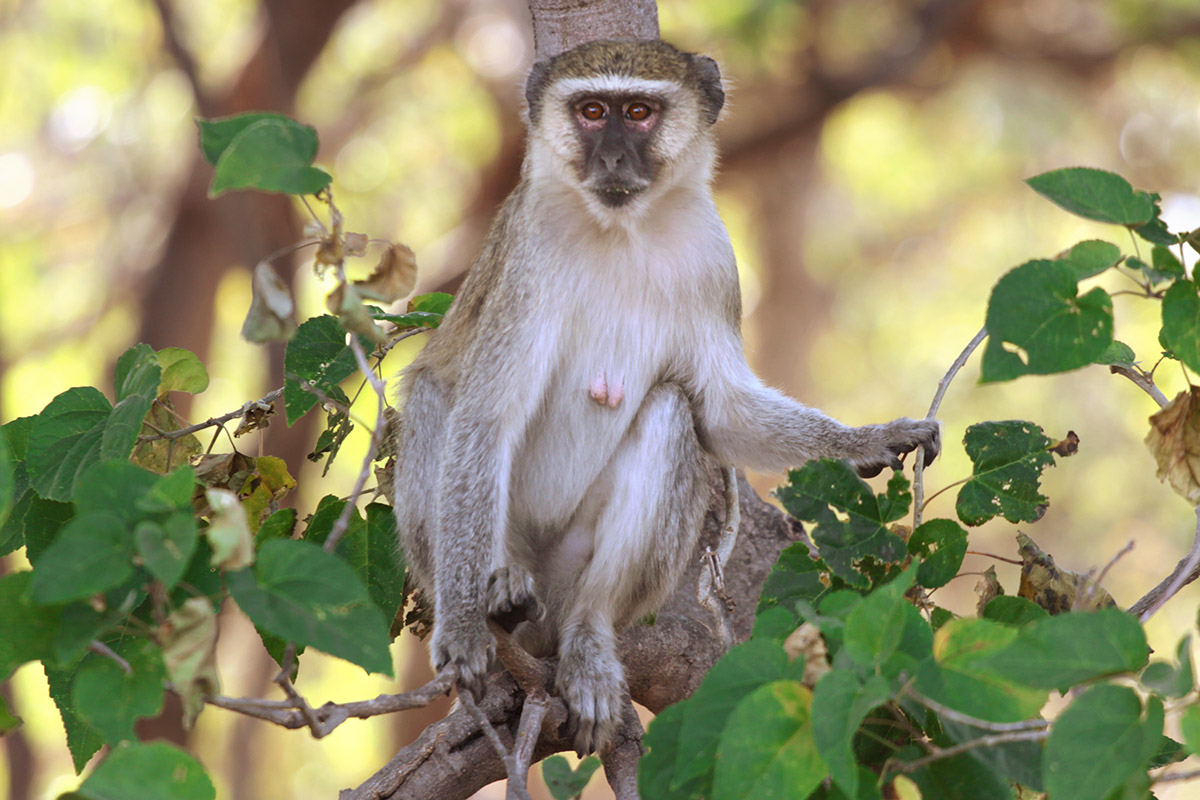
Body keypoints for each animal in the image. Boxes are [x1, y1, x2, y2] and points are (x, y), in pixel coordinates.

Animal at [393, 40, 936, 753]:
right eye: (592, 112)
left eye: (640, 113)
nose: (612, 159)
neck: (624, 228)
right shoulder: (528, 256)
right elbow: (485, 417)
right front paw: (460, 627)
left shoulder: (713, 255)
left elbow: (722, 410)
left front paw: (868, 440)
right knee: (436, 397)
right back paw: (502, 592)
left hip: (573, 572)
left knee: (672, 413)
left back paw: (588, 636)